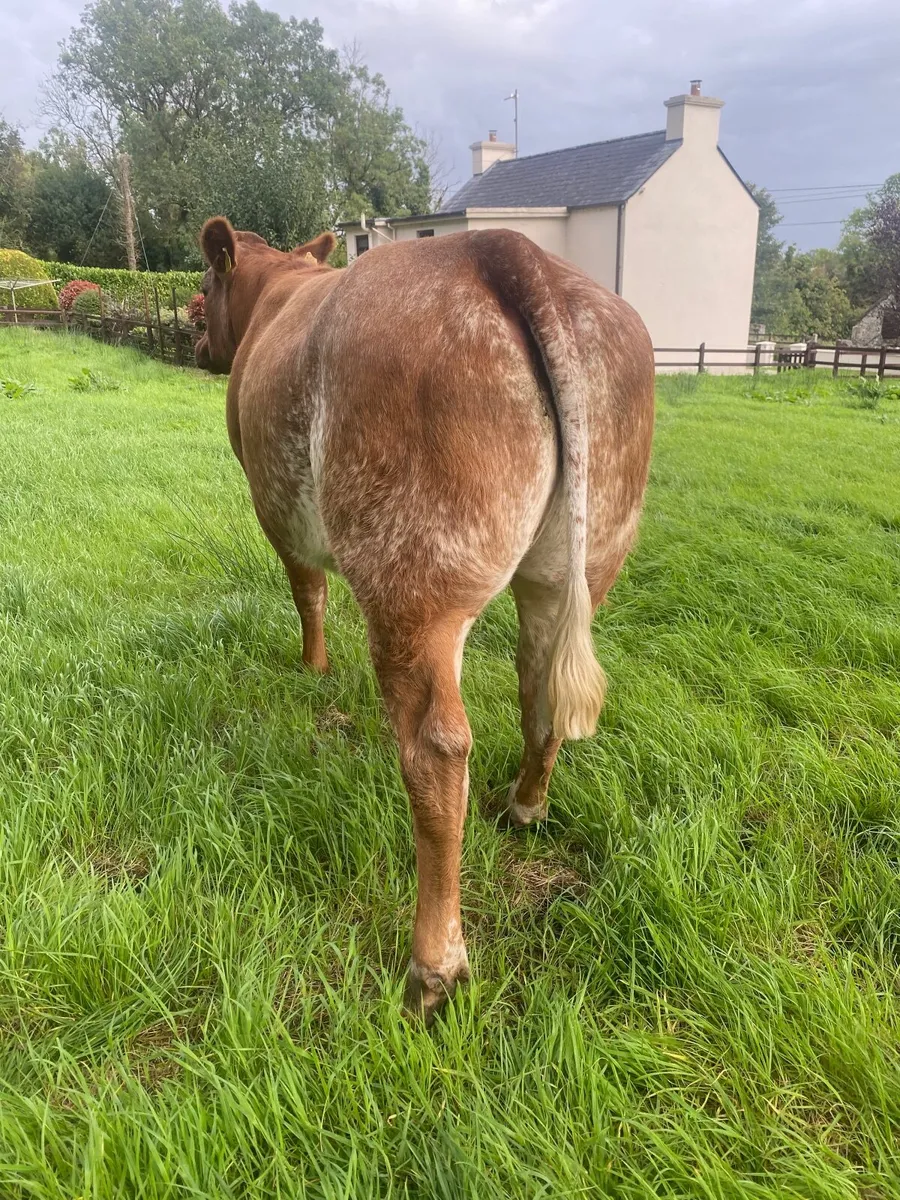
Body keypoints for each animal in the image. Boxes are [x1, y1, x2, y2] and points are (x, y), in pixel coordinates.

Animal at [195, 218, 655, 1022]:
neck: (275, 288)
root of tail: (507, 250)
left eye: (198, 297)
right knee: (541, 687)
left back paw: (432, 966)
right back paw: (525, 807)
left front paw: (313, 668)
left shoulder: (275, 509)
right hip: (576, 565)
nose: (194, 346)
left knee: (437, 749)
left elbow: (307, 590)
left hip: (413, 575)